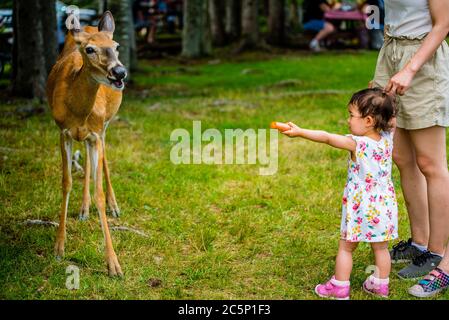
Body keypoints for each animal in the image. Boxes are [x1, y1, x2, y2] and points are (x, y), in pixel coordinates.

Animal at [46, 10, 127, 276]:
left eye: (116, 46)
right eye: (90, 49)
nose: (120, 72)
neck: (79, 112)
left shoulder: (96, 132)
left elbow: (99, 191)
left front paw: (113, 264)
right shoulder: (63, 131)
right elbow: (66, 182)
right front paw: (59, 248)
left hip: (105, 127)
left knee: (104, 161)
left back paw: (113, 206)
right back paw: (83, 208)